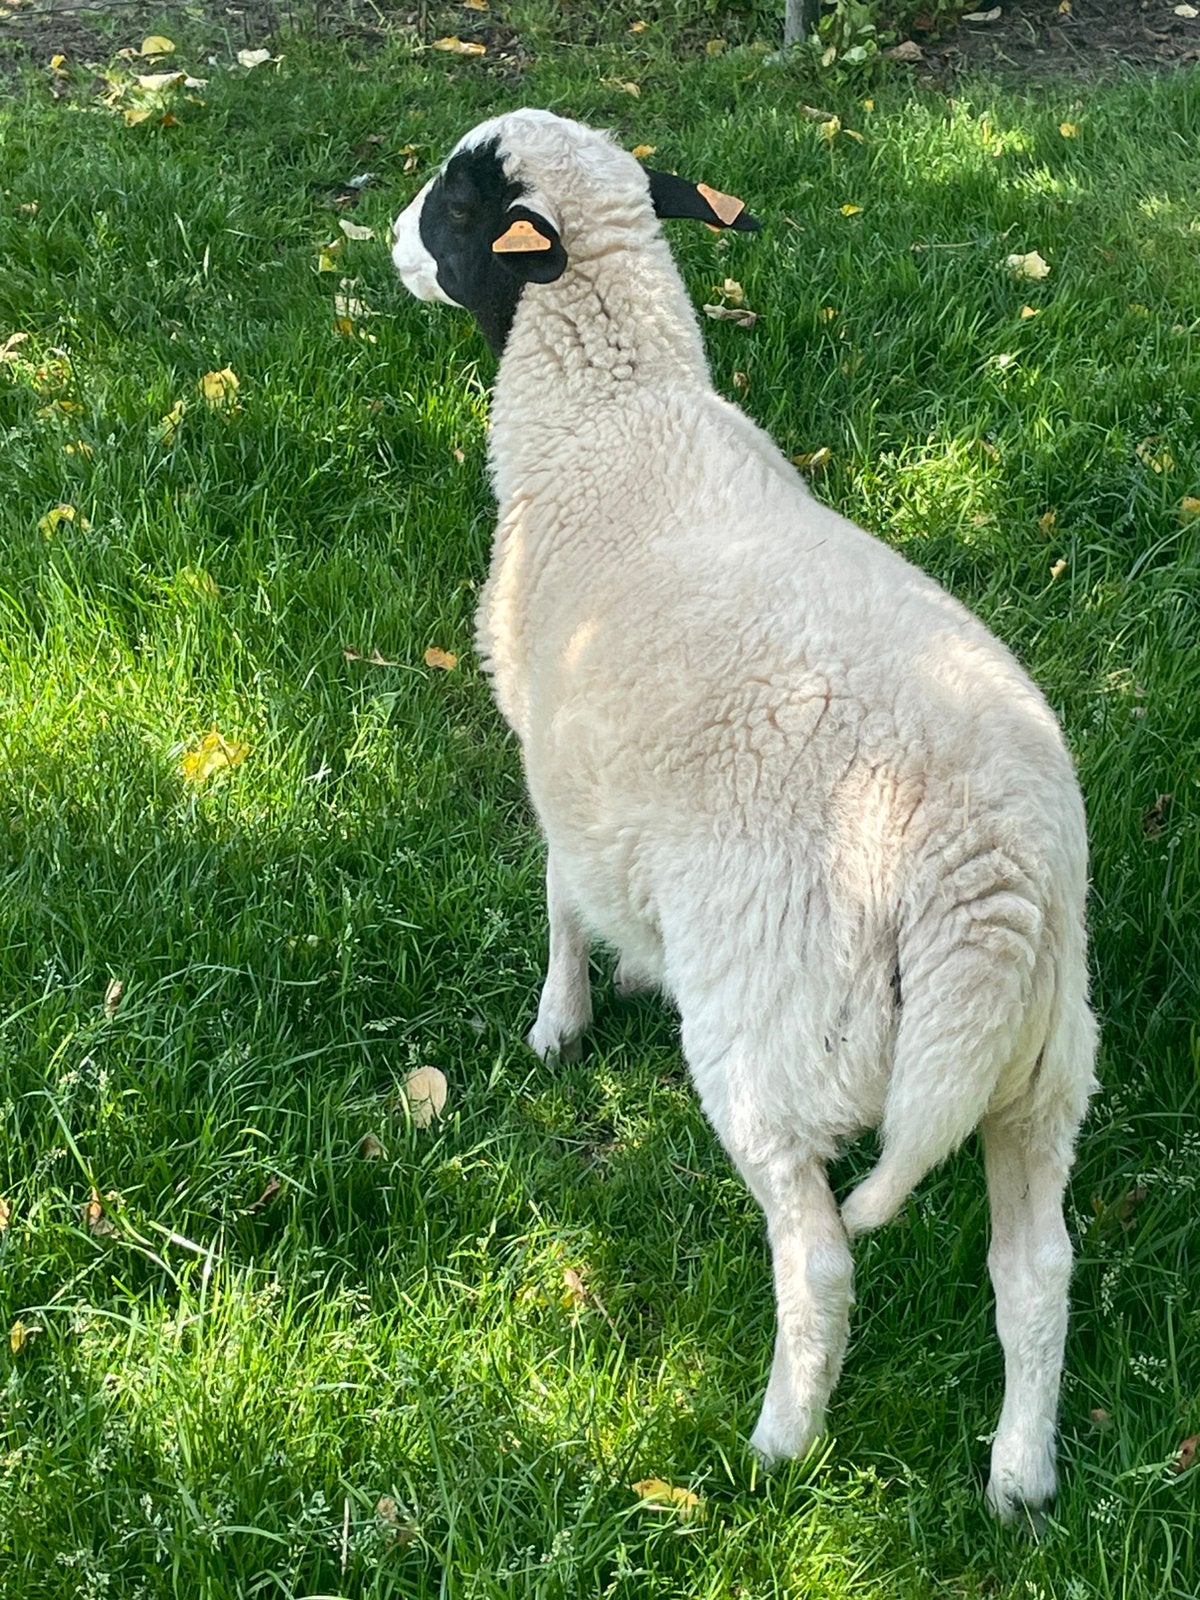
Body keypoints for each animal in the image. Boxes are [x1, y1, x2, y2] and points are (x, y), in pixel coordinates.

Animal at [390, 108, 1098, 1523]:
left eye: (451, 202)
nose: (388, 241)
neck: (609, 416)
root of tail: (980, 869)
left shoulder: (557, 759)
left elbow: (560, 898)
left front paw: (560, 1022)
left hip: (774, 1039)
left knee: (819, 1262)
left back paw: (777, 1442)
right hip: (1039, 1065)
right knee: (1037, 1273)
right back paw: (1018, 1476)